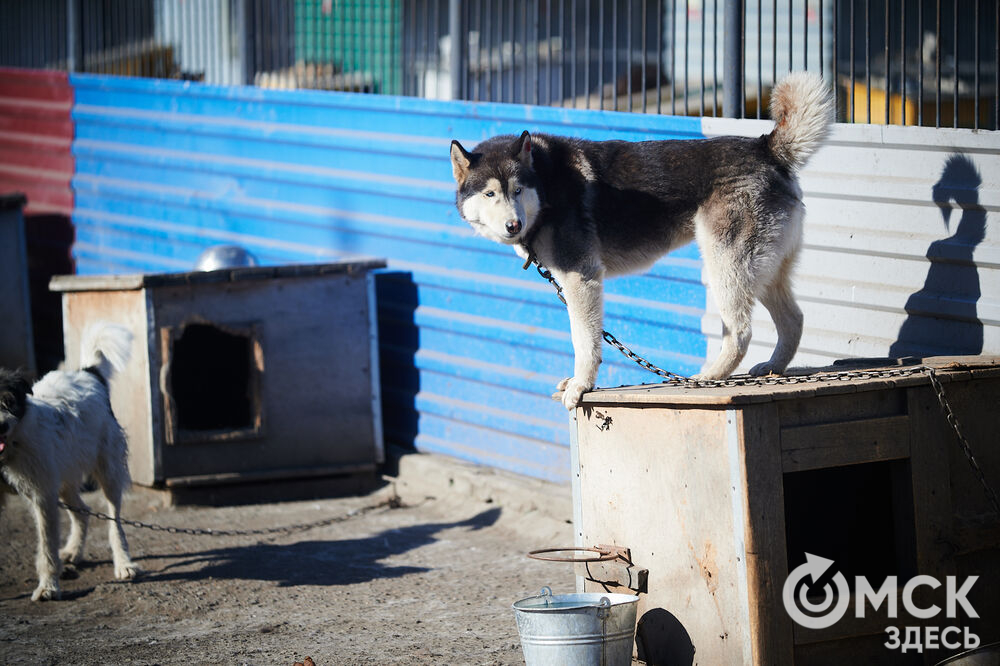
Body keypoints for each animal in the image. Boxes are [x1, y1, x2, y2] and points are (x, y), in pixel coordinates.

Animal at [0, 320, 141, 600]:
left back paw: (123, 563)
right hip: (64, 476)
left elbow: (47, 548)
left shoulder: (42, 496)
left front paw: (48, 588)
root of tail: (88, 373)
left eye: (7, 401)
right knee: (83, 511)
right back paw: (74, 550)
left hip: (107, 472)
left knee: (115, 521)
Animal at [450, 71, 832, 404]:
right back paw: (772, 367)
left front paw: (581, 385)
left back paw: (710, 376)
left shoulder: (581, 278)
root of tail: (766, 147)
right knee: (794, 320)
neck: (545, 182)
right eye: (490, 194)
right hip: (764, 270)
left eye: (517, 190)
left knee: (740, 330)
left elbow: (584, 340)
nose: (513, 225)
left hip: (726, 265)